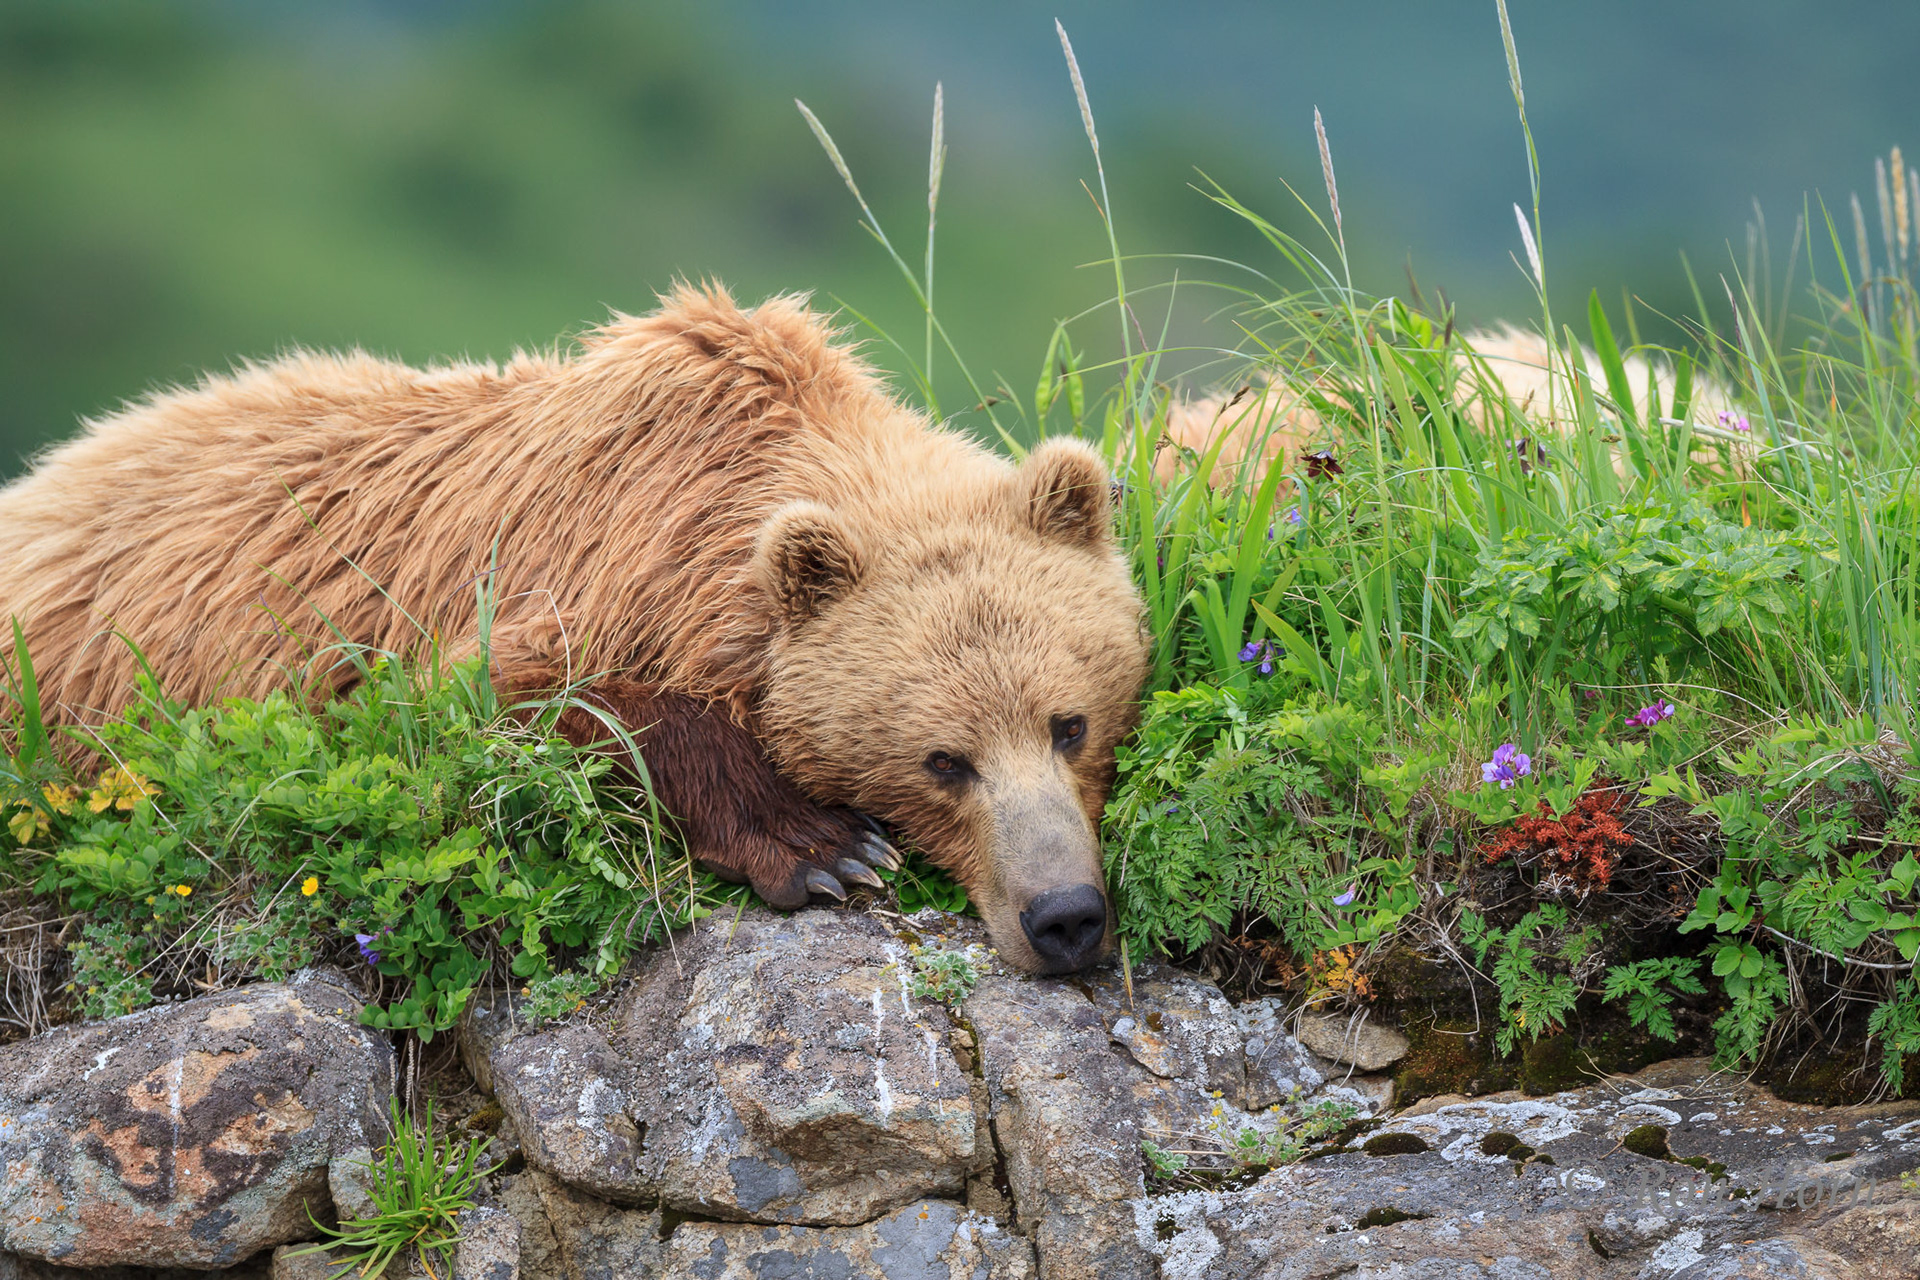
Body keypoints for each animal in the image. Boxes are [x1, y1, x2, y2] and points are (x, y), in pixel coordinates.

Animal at [0, 285, 1136, 974]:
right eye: (943, 760)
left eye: (1070, 723)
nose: (1064, 915)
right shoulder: (558, 570)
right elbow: (488, 704)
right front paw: (823, 846)